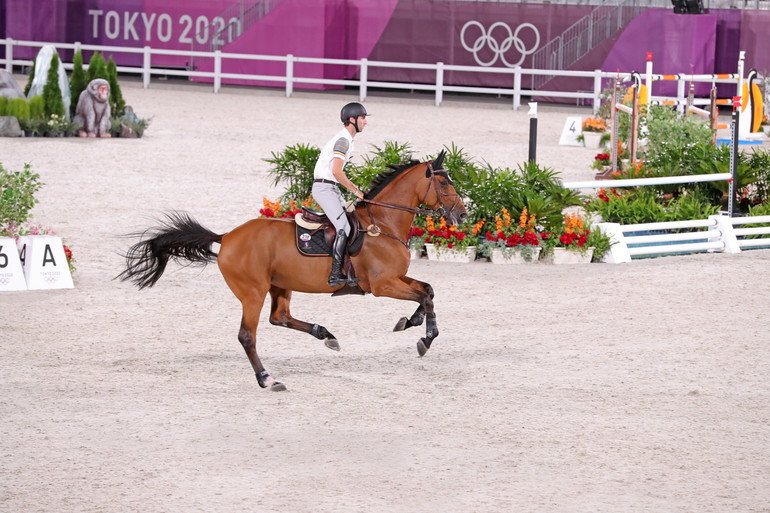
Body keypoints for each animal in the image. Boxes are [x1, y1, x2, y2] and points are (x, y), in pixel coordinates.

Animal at [118, 150, 468, 390]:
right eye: (443, 181)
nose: (462, 215)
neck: (383, 224)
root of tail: (226, 237)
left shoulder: (396, 278)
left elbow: (428, 291)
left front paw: (412, 324)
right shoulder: (383, 285)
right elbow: (425, 296)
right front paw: (425, 337)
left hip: (280, 284)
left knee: (280, 317)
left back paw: (326, 335)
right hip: (253, 292)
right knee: (248, 335)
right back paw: (267, 379)